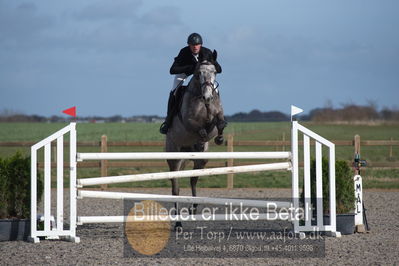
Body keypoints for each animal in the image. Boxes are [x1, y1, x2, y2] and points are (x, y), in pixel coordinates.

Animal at [166, 59, 228, 227]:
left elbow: (219, 123)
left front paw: (219, 139)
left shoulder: (217, 117)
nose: (207, 97)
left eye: (214, 71)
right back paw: (178, 223)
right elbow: (200, 130)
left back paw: (193, 207)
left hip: (201, 160)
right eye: (199, 72)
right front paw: (201, 137)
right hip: (174, 156)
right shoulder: (189, 122)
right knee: (175, 188)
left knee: (193, 179)